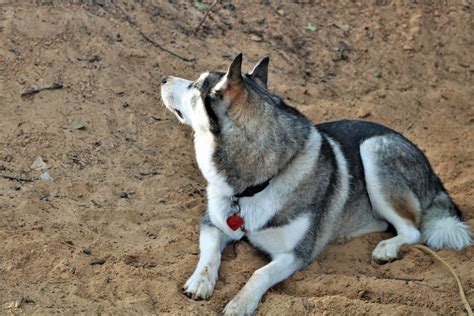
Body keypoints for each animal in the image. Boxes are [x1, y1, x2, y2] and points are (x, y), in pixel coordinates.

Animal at [161, 53, 472, 314]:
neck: (254, 185)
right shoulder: (212, 224)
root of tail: (433, 175)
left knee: (412, 230)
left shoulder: (295, 255)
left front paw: (240, 303)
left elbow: (260, 273)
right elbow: (209, 254)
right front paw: (200, 282)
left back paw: (387, 247)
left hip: (373, 150)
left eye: (195, 85)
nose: (163, 78)